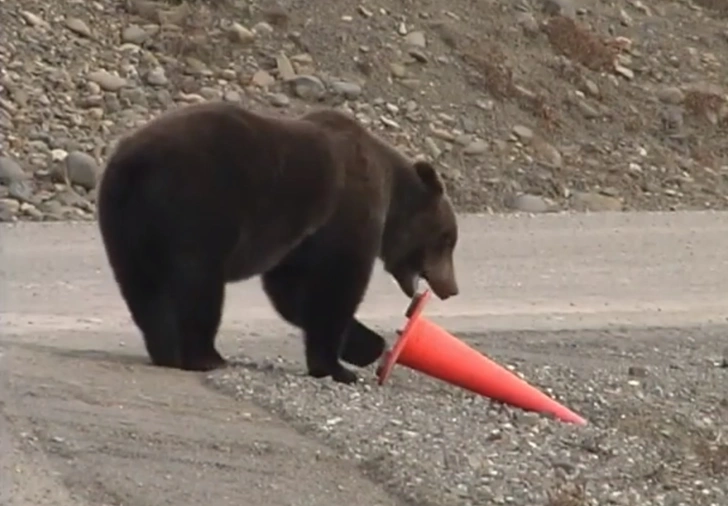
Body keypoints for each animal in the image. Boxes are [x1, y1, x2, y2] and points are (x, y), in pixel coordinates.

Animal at [96, 102, 460, 384]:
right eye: (448, 239)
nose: (451, 288)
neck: (392, 198)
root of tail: (134, 162)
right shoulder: (347, 217)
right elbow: (335, 288)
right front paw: (338, 367)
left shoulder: (300, 242)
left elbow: (293, 294)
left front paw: (366, 345)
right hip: (197, 205)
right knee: (198, 283)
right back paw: (206, 355)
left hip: (124, 222)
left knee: (143, 288)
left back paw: (166, 350)